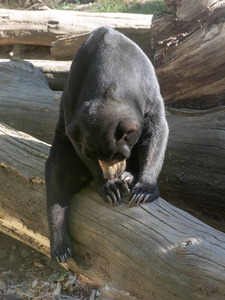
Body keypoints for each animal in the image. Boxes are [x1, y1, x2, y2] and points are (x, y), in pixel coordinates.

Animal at [45, 26, 169, 262]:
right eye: (94, 156)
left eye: (119, 155)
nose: (114, 174)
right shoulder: (72, 106)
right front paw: (110, 187)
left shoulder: (149, 89)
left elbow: (157, 132)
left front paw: (143, 190)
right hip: (62, 146)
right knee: (57, 177)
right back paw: (61, 248)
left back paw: (129, 176)